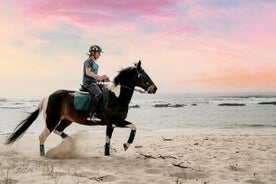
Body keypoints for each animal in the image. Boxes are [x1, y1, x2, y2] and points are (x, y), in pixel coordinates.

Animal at [5, 61, 157, 156]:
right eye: (143, 75)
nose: (154, 88)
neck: (117, 97)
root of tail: (47, 97)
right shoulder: (114, 121)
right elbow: (133, 127)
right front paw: (126, 145)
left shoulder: (112, 124)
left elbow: (109, 140)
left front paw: (110, 153)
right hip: (51, 120)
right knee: (42, 136)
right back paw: (43, 155)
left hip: (66, 120)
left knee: (58, 130)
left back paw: (71, 141)